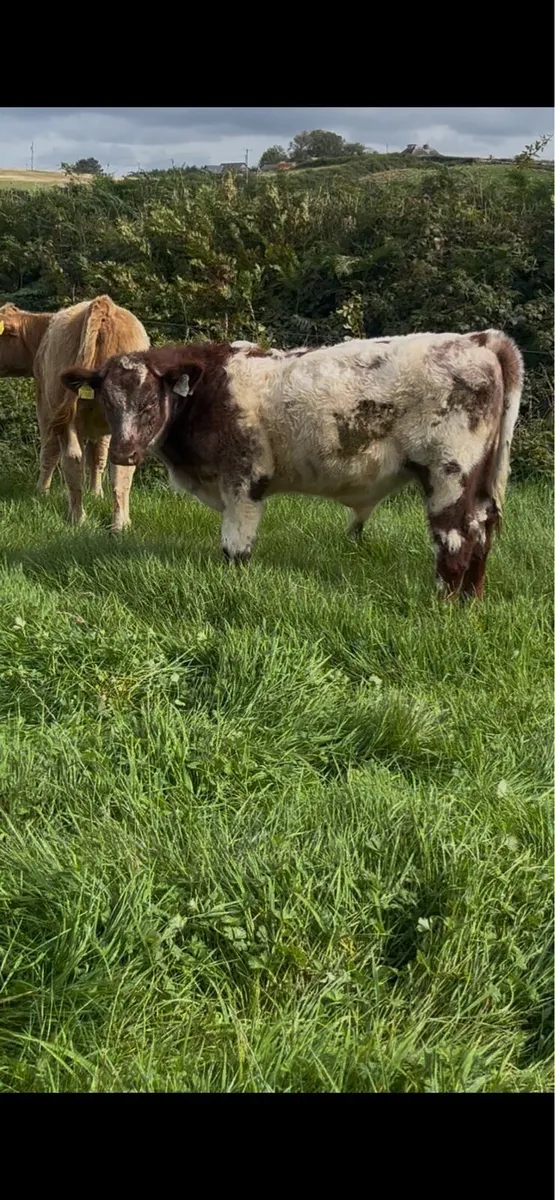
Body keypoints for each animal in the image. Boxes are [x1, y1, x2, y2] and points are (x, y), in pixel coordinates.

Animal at [0, 296, 149, 531]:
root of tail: (103, 305)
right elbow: (98, 456)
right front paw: (96, 494)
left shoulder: (45, 407)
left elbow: (49, 452)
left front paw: (41, 493)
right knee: (120, 466)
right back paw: (121, 524)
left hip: (64, 413)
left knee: (71, 458)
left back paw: (77, 518)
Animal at [61, 330, 524, 600]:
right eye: (107, 401)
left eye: (148, 402)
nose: (124, 454)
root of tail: (478, 340)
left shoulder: (243, 478)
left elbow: (235, 547)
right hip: (478, 484)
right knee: (482, 533)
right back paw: (471, 603)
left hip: (450, 474)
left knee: (457, 541)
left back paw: (443, 605)